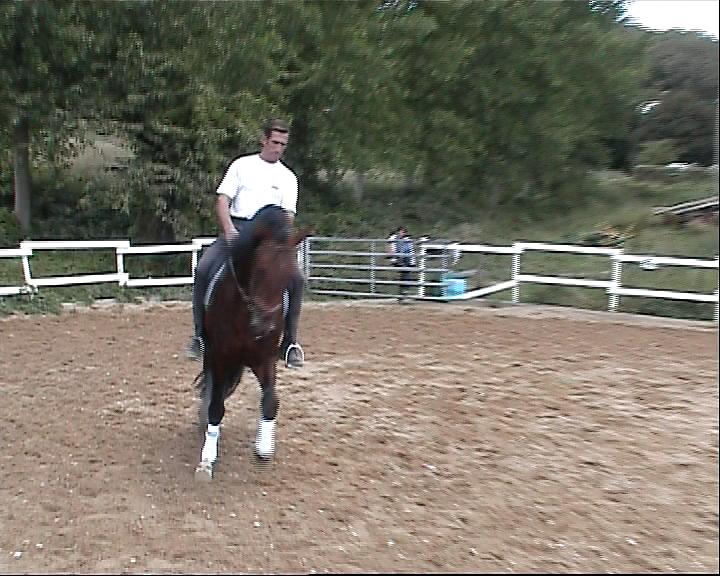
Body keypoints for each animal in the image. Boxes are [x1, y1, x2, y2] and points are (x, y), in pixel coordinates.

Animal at [194, 204, 311, 480]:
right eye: (260, 270)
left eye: (289, 277)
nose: (263, 327)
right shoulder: (221, 357)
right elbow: (216, 406)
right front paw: (206, 460)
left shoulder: (264, 359)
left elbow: (270, 401)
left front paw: (263, 449)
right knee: (210, 388)